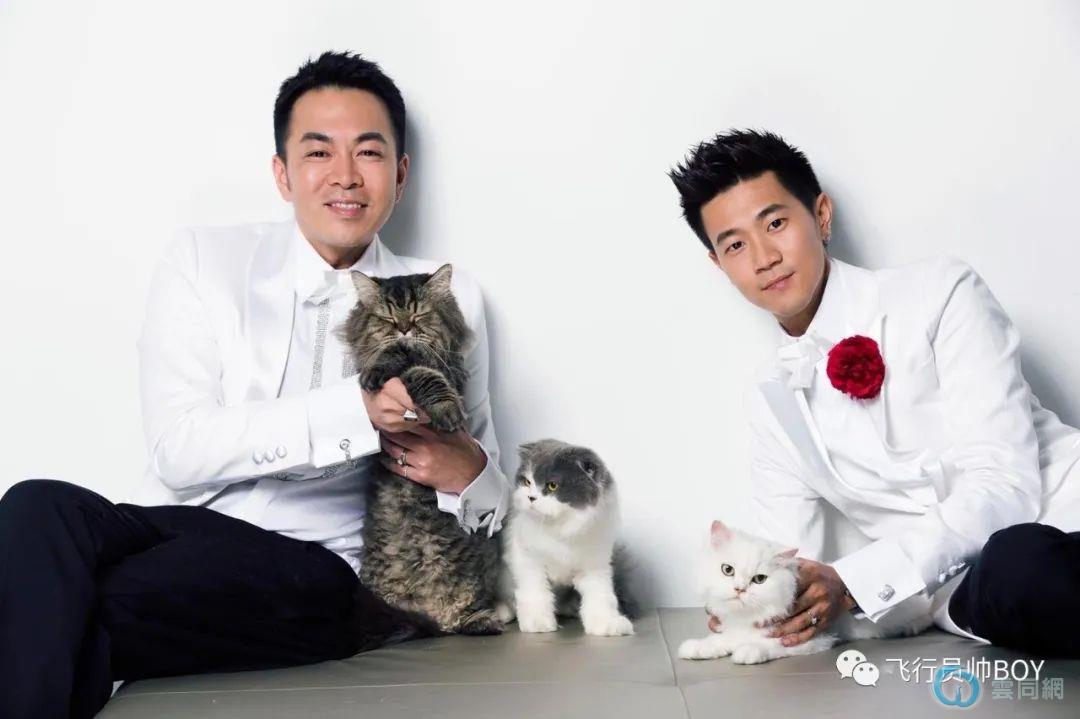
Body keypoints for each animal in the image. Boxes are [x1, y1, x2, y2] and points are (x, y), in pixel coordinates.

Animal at [338, 264, 502, 636]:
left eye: (417, 314)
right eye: (387, 317)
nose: (403, 328)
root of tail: (434, 618)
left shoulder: (446, 369)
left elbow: (423, 370)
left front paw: (447, 411)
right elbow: (398, 359)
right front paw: (377, 371)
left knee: (463, 612)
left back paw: (483, 621)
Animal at [496, 439, 637, 636]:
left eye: (552, 486)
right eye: (527, 482)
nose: (531, 497)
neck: (561, 529)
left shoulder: (595, 566)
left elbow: (601, 595)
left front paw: (606, 623)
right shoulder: (527, 560)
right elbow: (535, 593)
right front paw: (538, 623)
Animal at [678, 520, 932, 664]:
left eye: (759, 580)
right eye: (727, 570)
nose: (739, 589)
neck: (746, 619)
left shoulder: (812, 639)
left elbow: (770, 646)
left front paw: (747, 652)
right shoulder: (732, 629)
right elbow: (720, 640)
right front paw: (697, 647)